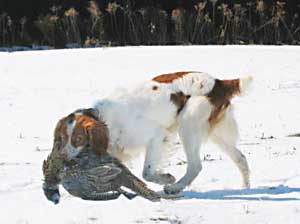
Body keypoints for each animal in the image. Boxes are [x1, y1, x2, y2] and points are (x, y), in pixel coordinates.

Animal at [52, 72, 252, 194]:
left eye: (78, 139)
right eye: (62, 138)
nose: (63, 158)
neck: (106, 119)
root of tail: (220, 83)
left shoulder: (156, 137)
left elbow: (146, 172)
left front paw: (167, 178)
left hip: (188, 125)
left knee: (195, 165)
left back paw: (175, 187)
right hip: (214, 134)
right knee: (241, 158)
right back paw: (245, 188)